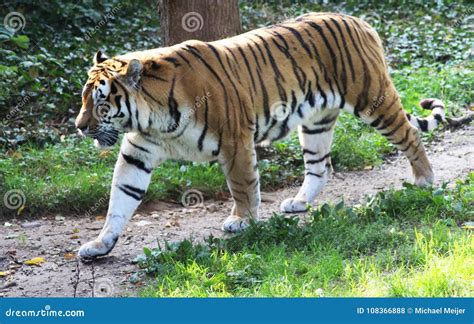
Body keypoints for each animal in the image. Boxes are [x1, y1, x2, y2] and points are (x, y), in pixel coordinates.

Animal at [76, 12, 446, 258]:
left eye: (101, 101)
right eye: (83, 98)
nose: (79, 126)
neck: (152, 118)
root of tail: (359, 20)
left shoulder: (235, 139)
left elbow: (241, 185)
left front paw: (241, 221)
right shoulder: (137, 153)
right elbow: (120, 199)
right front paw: (100, 243)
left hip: (373, 100)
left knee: (410, 135)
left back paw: (425, 180)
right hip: (316, 123)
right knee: (320, 167)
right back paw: (298, 203)